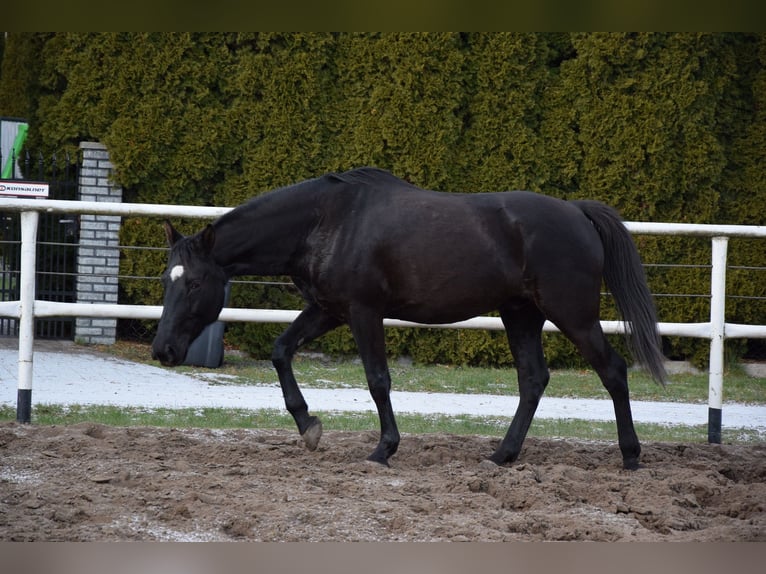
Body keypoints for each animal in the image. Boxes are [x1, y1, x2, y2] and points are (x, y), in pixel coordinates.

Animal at [152, 167, 666, 470]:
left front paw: (384, 449)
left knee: (612, 370)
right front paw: (308, 426)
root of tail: (577, 213)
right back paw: (502, 455)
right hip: (520, 314)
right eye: (166, 278)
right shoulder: (329, 310)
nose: (163, 350)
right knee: (533, 379)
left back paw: (630, 456)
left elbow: (378, 380)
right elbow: (281, 351)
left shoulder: (364, 313)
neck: (326, 221)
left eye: (193, 283)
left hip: (572, 315)